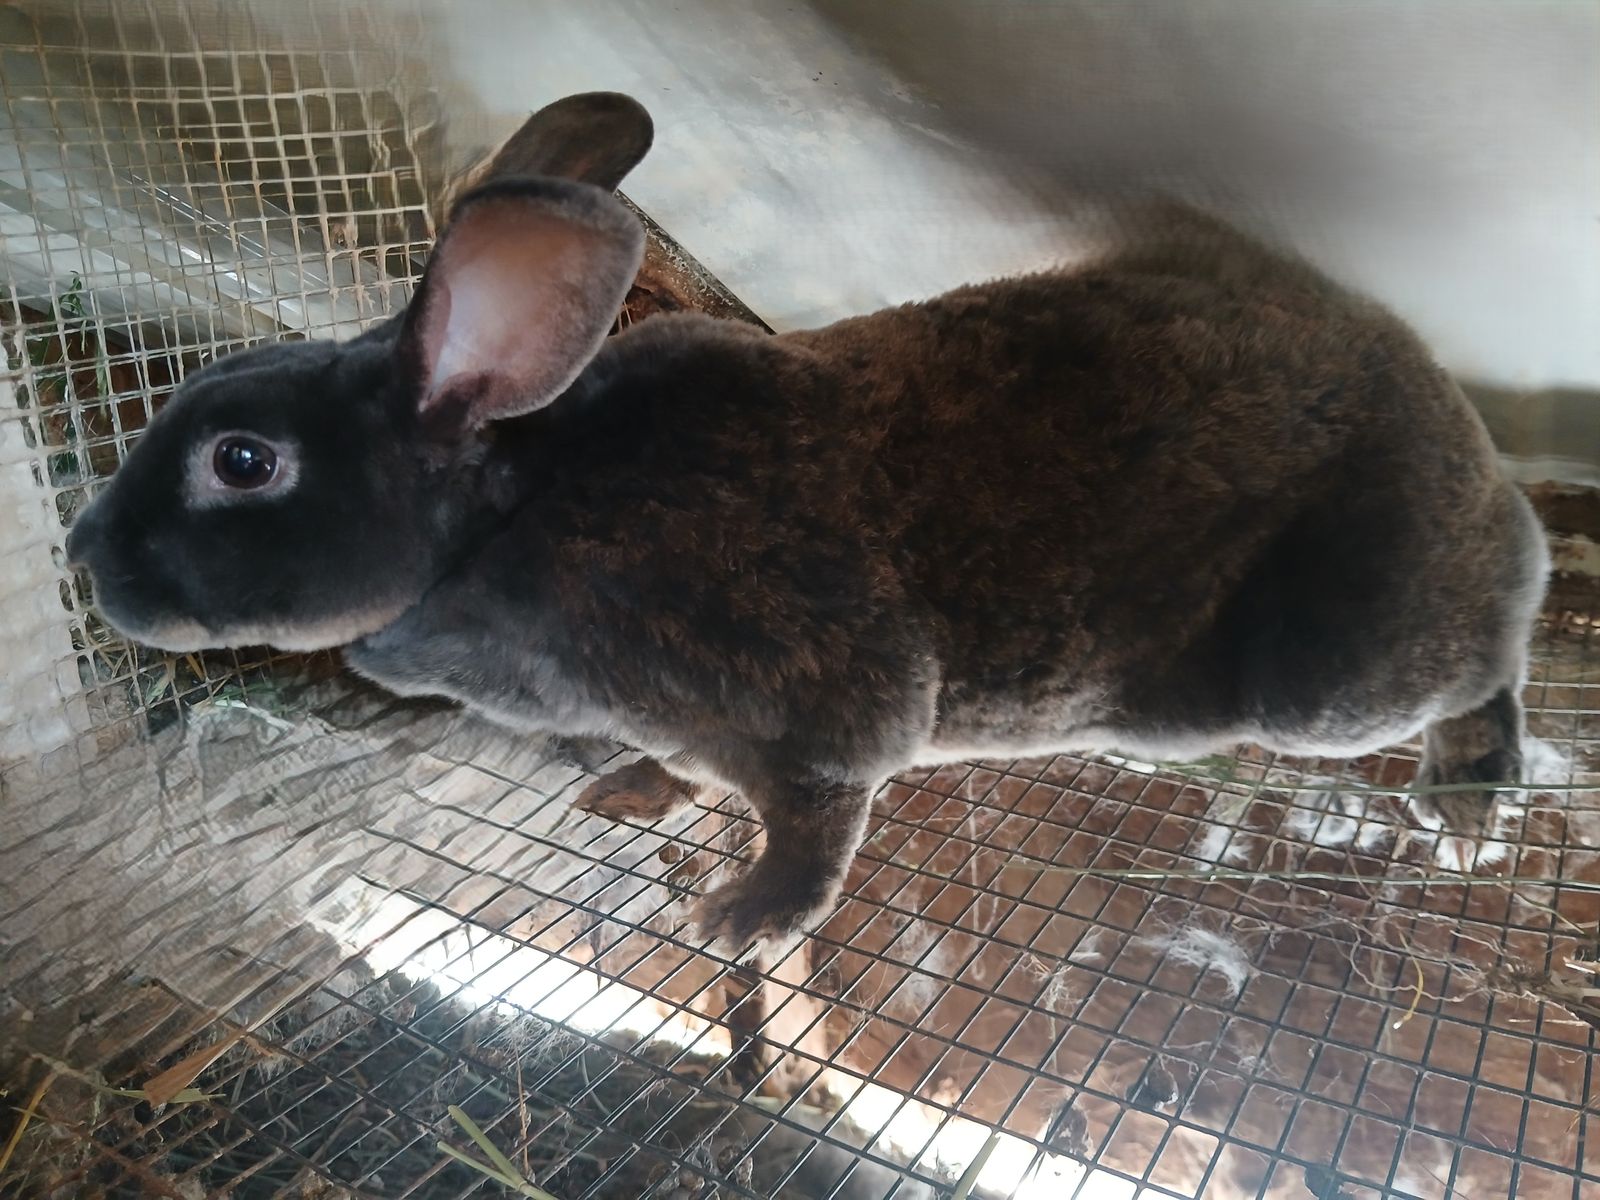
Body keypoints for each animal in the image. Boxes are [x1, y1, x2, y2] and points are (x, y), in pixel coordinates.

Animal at [65, 91, 1550, 956]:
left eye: (243, 462)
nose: (82, 555)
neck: (504, 516)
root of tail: (1449, 416)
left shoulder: (822, 707)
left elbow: (817, 818)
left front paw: (744, 922)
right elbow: (680, 775)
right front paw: (631, 796)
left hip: (1335, 677)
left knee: (1493, 646)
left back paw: (1470, 792)